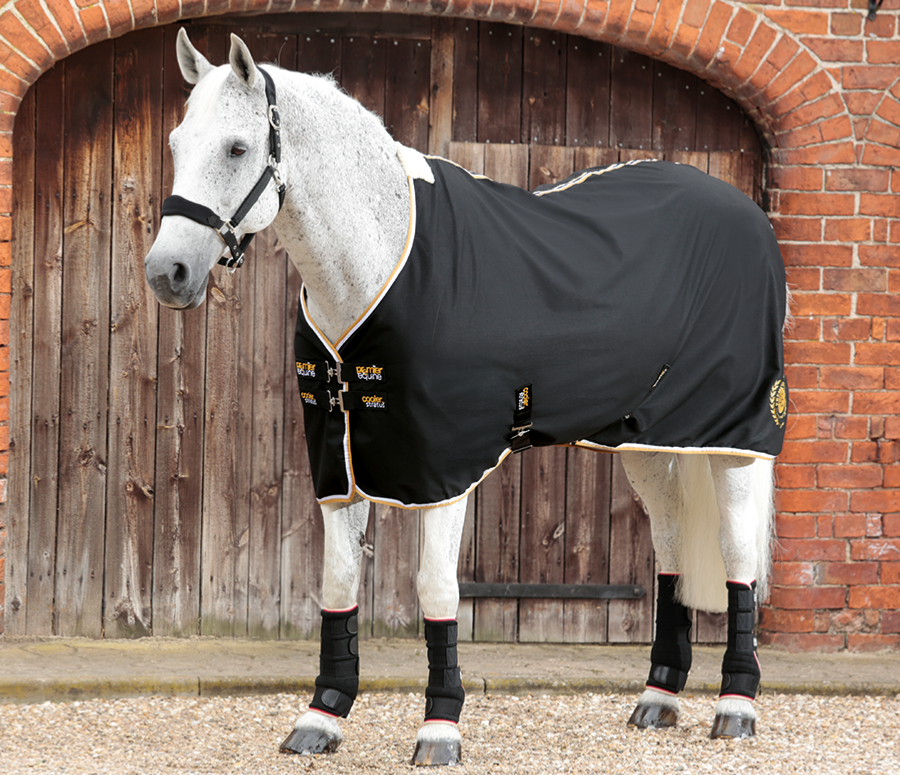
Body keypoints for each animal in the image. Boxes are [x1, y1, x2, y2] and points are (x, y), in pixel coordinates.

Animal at [144, 31, 784, 768]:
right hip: (645, 440)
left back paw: (736, 706)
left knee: (738, 557)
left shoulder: (443, 470)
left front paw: (439, 727)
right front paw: (321, 716)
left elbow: (435, 588)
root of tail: (745, 212)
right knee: (672, 543)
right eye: (177, 142)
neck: (381, 264)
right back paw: (659, 697)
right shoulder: (339, 464)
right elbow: (337, 584)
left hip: (737, 438)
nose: (166, 273)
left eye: (236, 148)